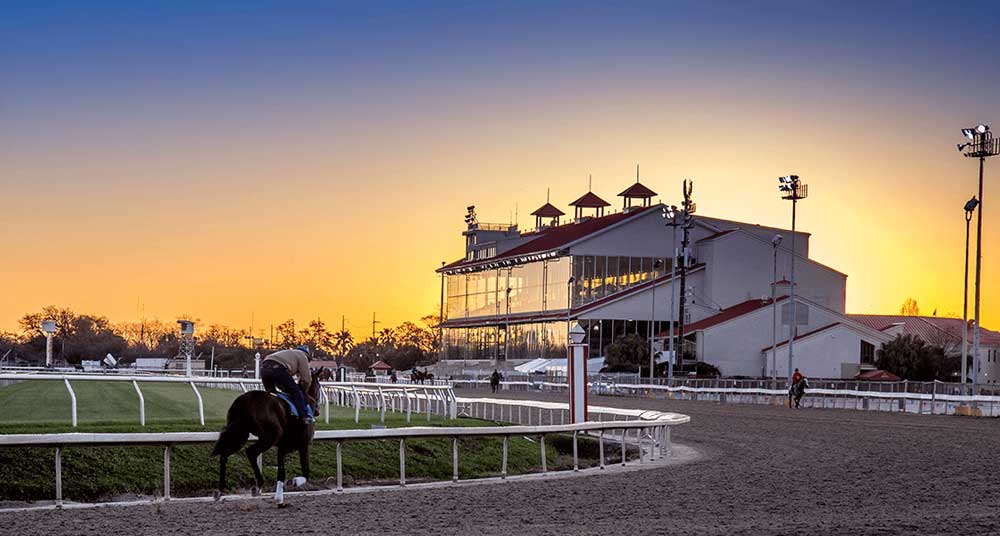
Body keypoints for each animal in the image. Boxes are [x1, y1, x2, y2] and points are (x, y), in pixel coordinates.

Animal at [214, 366, 324, 504]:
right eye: (319, 386)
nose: (318, 411)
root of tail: (244, 400)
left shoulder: (283, 448)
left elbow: (281, 472)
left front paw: (279, 499)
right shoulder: (303, 445)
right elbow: (306, 473)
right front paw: (294, 482)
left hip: (239, 435)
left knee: (224, 455)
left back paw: (220, 489)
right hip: (270, 436)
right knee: (250, 452)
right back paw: (258, 484)